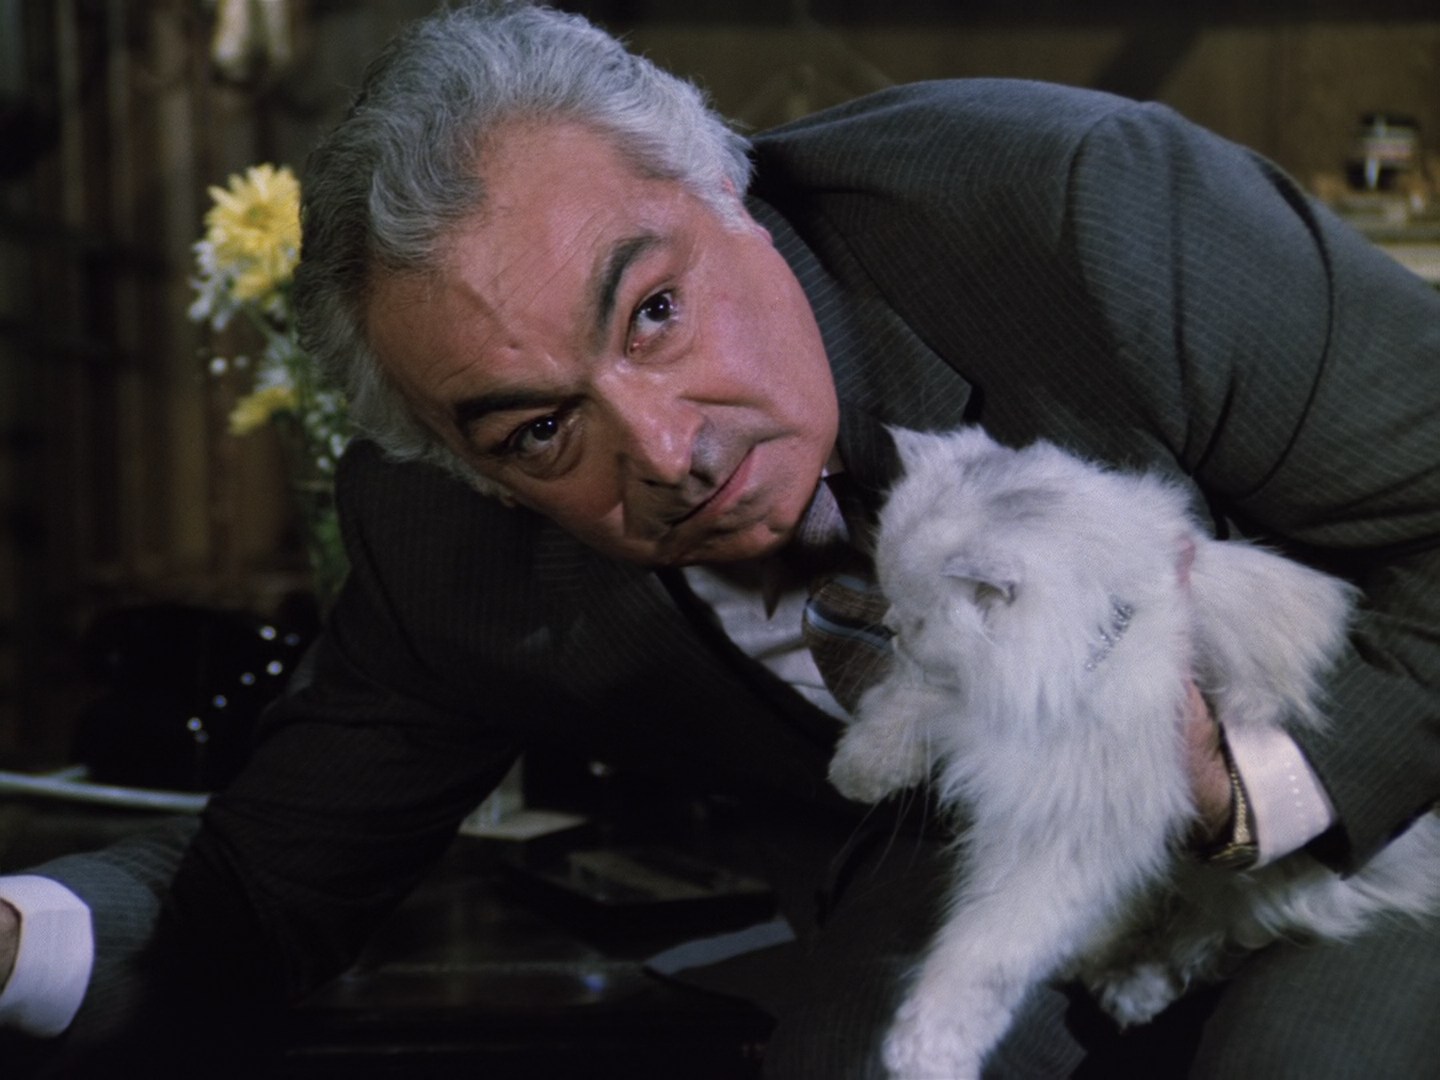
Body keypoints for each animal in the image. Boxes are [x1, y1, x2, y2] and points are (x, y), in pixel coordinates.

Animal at [828, 424, 1440, 1080]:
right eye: (891, 600)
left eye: (918, 621)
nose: (891, 625)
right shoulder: (953, 702)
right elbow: (895, 710)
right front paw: (855, 771)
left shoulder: (1065, 836)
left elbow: (986, 953)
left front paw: (926, 1050)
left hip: (1258, 889)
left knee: (1196, 941)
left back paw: (1129, 987)